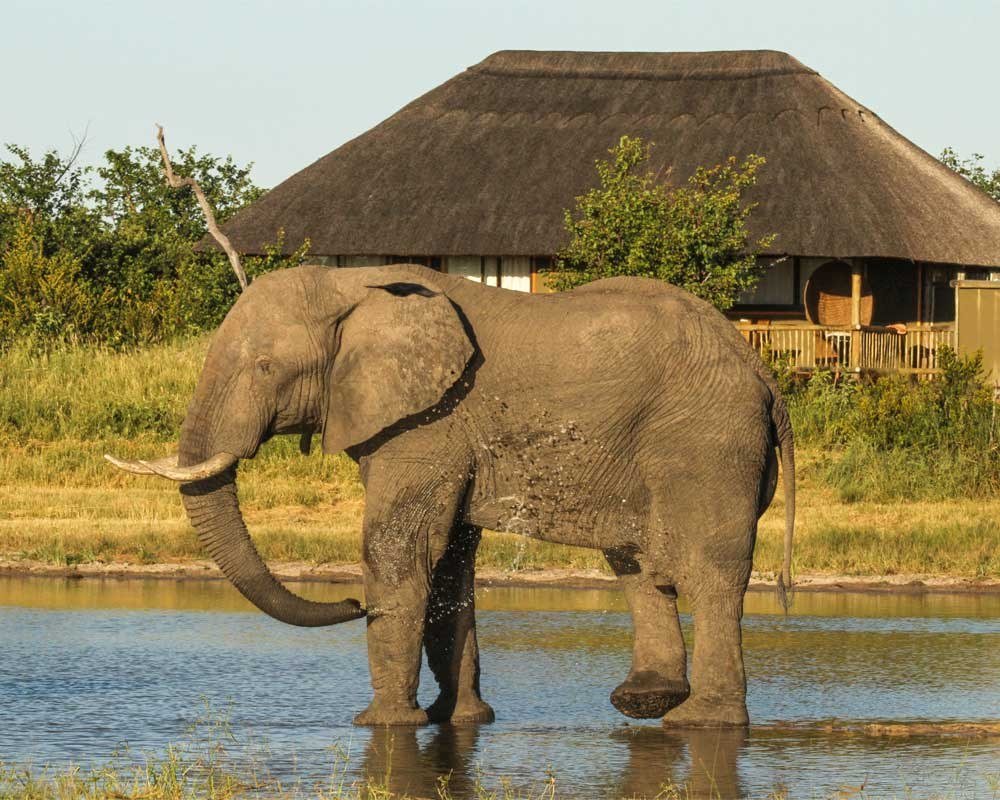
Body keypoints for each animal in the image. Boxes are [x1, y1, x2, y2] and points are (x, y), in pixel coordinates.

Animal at [107, 263, 794, 728]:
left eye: (266, 368)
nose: (353, 604)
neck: (350, 284)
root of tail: (762, 372)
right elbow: (450, 562)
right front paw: (457, 719)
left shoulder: (429, 421)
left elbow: (400, 546)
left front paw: (382, 724)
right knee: (639, 563)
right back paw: (644, 701)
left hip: (706, 439)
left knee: (706, 568)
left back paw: (700, 721)